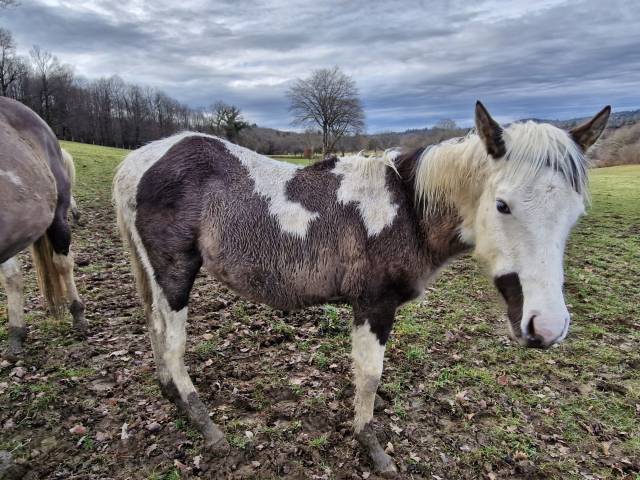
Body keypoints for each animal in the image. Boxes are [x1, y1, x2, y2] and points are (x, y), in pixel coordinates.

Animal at [113, 101, 609, 474]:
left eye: (575, 213)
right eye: (502, 204)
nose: (547, 327)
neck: (407, 209)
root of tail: (137, 162)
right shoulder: (374, 306)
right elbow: (369, 376)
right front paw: (371, 448)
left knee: (155, 329)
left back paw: (171, 396)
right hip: (175, 277)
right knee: (173, 343)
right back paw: (205, 425)